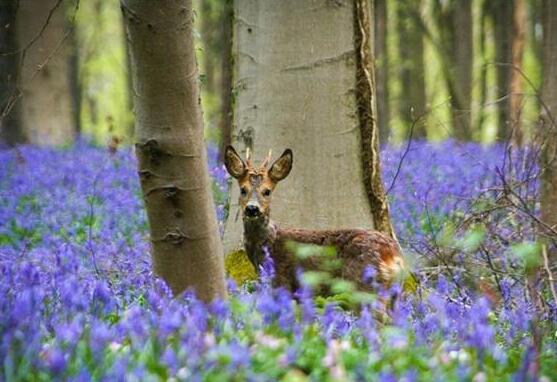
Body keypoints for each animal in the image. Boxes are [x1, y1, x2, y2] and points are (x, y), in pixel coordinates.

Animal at [223, 145, 404, 292]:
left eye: (267, 191)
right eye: (243, 189)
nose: (252, 209)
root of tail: (395, 255)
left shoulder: (281, 281)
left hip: (363, 283)